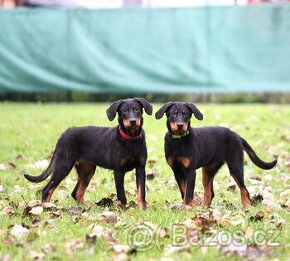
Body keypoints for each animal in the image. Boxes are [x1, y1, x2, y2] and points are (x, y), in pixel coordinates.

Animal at [23, 97, 153, 209]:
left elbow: (141, 192)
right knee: (47, 189)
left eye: (137, 109)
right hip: (64, 165)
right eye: (124, 110)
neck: (131, 139)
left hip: (87, 170)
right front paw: (124, 210)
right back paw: (48, 207)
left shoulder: (141, 168)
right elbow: (122, 195)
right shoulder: (118, 171)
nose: (133, 121)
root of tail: (63, 135)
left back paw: (86, 207)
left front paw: (143, 210)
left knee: (76, 193)